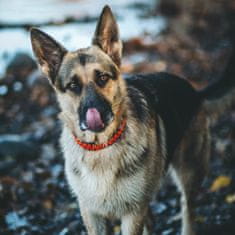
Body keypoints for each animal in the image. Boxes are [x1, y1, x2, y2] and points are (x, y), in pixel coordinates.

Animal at [30, 4, 234, 235]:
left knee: (188, 208)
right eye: (73, 86)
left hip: (189, 174)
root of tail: (194, 91)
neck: (101, 148)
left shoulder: (132, 213)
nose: (96, 114)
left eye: (102, 78)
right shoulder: (93, 214)